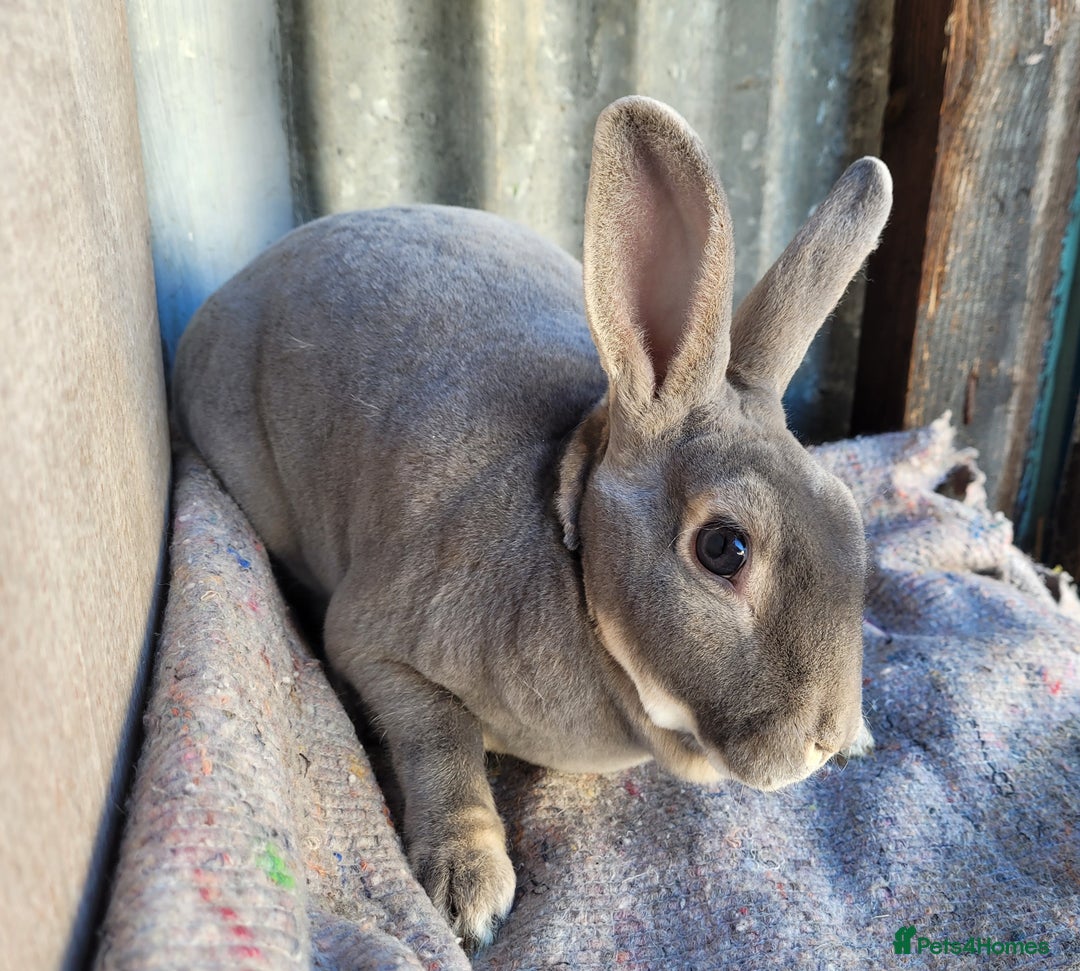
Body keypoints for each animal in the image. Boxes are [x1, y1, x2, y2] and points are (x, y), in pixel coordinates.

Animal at [172, 96, 892, 948]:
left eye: (848, 515)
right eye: (725, 547)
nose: (823, 737)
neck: (574, 558)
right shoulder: (378, 642)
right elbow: (439, 739)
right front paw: (468, 892)